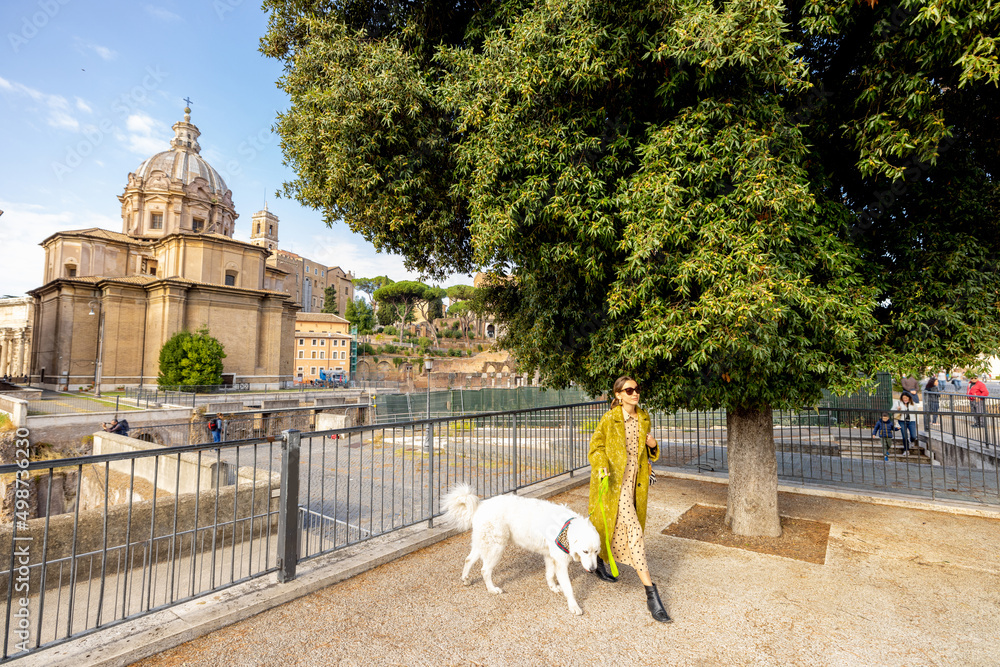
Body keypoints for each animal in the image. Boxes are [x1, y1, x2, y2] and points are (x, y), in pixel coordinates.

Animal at [446, 486, 600, 616]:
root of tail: (480, 506)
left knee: (468, 559)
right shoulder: (561, 563)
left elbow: (550, 574)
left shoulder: (550, 557)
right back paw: (492, 589)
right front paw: (574, 606)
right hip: (496, 548)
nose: (593, 569)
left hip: (483, 544)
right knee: (485, 570)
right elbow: (569, 587)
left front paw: (553, 587)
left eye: (597, 552)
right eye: (585, 551)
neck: (566, 529)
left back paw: (466, 579)